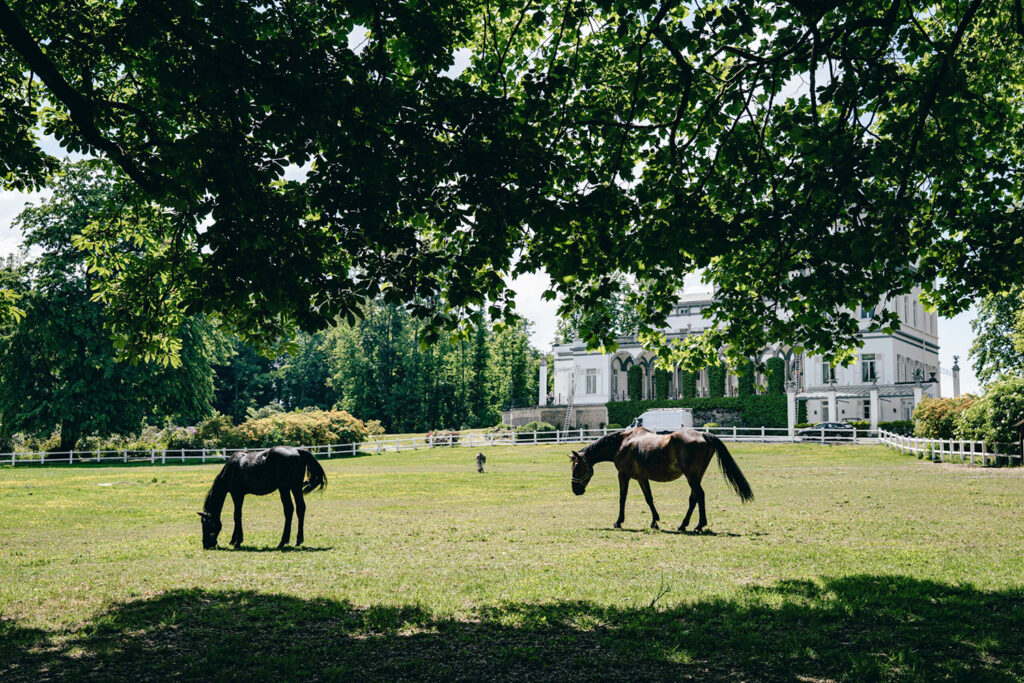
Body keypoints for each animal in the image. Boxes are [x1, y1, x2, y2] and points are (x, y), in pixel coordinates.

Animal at [198, 446, 326, 549]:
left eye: (206, 524)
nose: (206, 544)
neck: (232, 468)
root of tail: (298, 450)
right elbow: (237, 515)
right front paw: (233, 540)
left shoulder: (237, 494)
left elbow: (237, 515)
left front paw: (237, 541)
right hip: (295, 487)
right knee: (300, 508)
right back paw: (298, 540)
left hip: (285, 488)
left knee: (289, 509)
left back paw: (282, 542)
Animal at [568, 427, 753, 532]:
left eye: (577, 467)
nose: (575, 490)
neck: (622, 443)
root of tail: (702, 434)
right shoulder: (642, 478)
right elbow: (649, 499)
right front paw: (654, 521)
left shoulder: (623, 475)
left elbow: (622, 498)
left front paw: (618, 522)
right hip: (696, 476)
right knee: (693, 498)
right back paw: (683, 525)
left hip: (691, 476)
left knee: (700, 496)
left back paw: (699, 525)